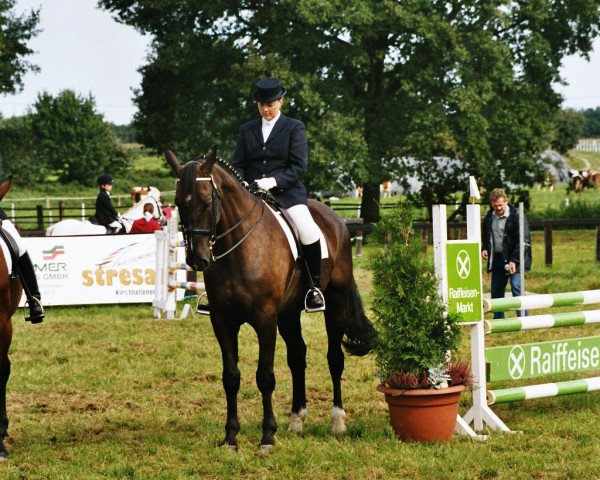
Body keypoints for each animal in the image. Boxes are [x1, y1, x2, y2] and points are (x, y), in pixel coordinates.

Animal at [164, 148, 378, 452]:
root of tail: (335, 218)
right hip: (288, 314)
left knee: (334, 358)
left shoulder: (265, 319)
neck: (239, 248)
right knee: (298, 357)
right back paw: (297, 419)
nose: (197, 260)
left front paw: (267, 437)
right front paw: (231, 438)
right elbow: (231, 377)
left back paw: (337, 422)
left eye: (207, 200)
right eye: (179, 203)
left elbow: (265, 377)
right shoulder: (223, 321)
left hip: (335, 303)